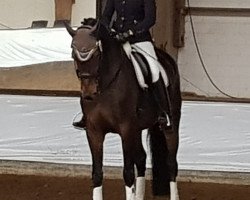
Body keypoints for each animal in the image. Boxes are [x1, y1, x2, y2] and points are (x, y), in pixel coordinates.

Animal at [64, 18, 182, 200]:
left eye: (96, 53)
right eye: (73, 53)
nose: (88, 93)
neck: (106, 84)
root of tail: (166, 58)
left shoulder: (126, 129)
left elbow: (128, 173)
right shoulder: (94, 131)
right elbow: (97, 174)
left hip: (171, 123)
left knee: (171, 163)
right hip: (137, 128)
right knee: (141, 158)